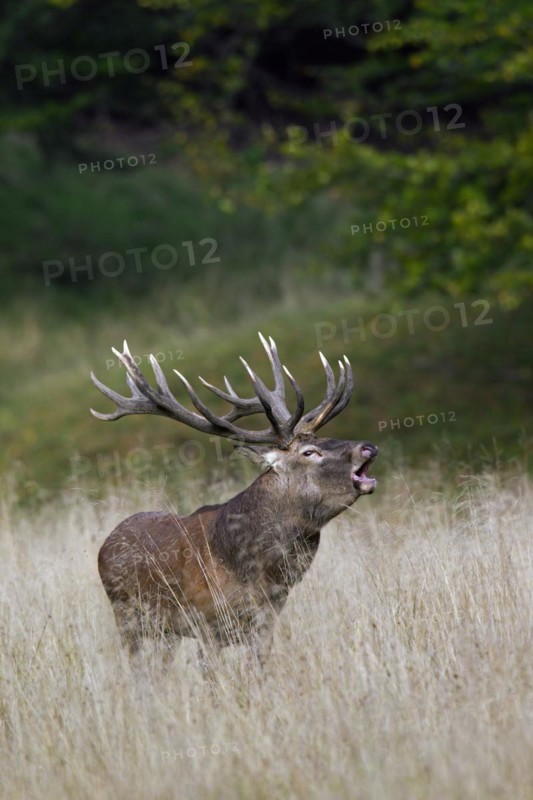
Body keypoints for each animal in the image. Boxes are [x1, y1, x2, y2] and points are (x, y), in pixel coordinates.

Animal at [91, 333, 378, 674]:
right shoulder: (206, 623)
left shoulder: (265, 623)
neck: (258, 573)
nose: (368, 447)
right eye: (309, 452)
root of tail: (106, 544)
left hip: (165, 631)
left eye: (324, 439)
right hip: (128, 617)